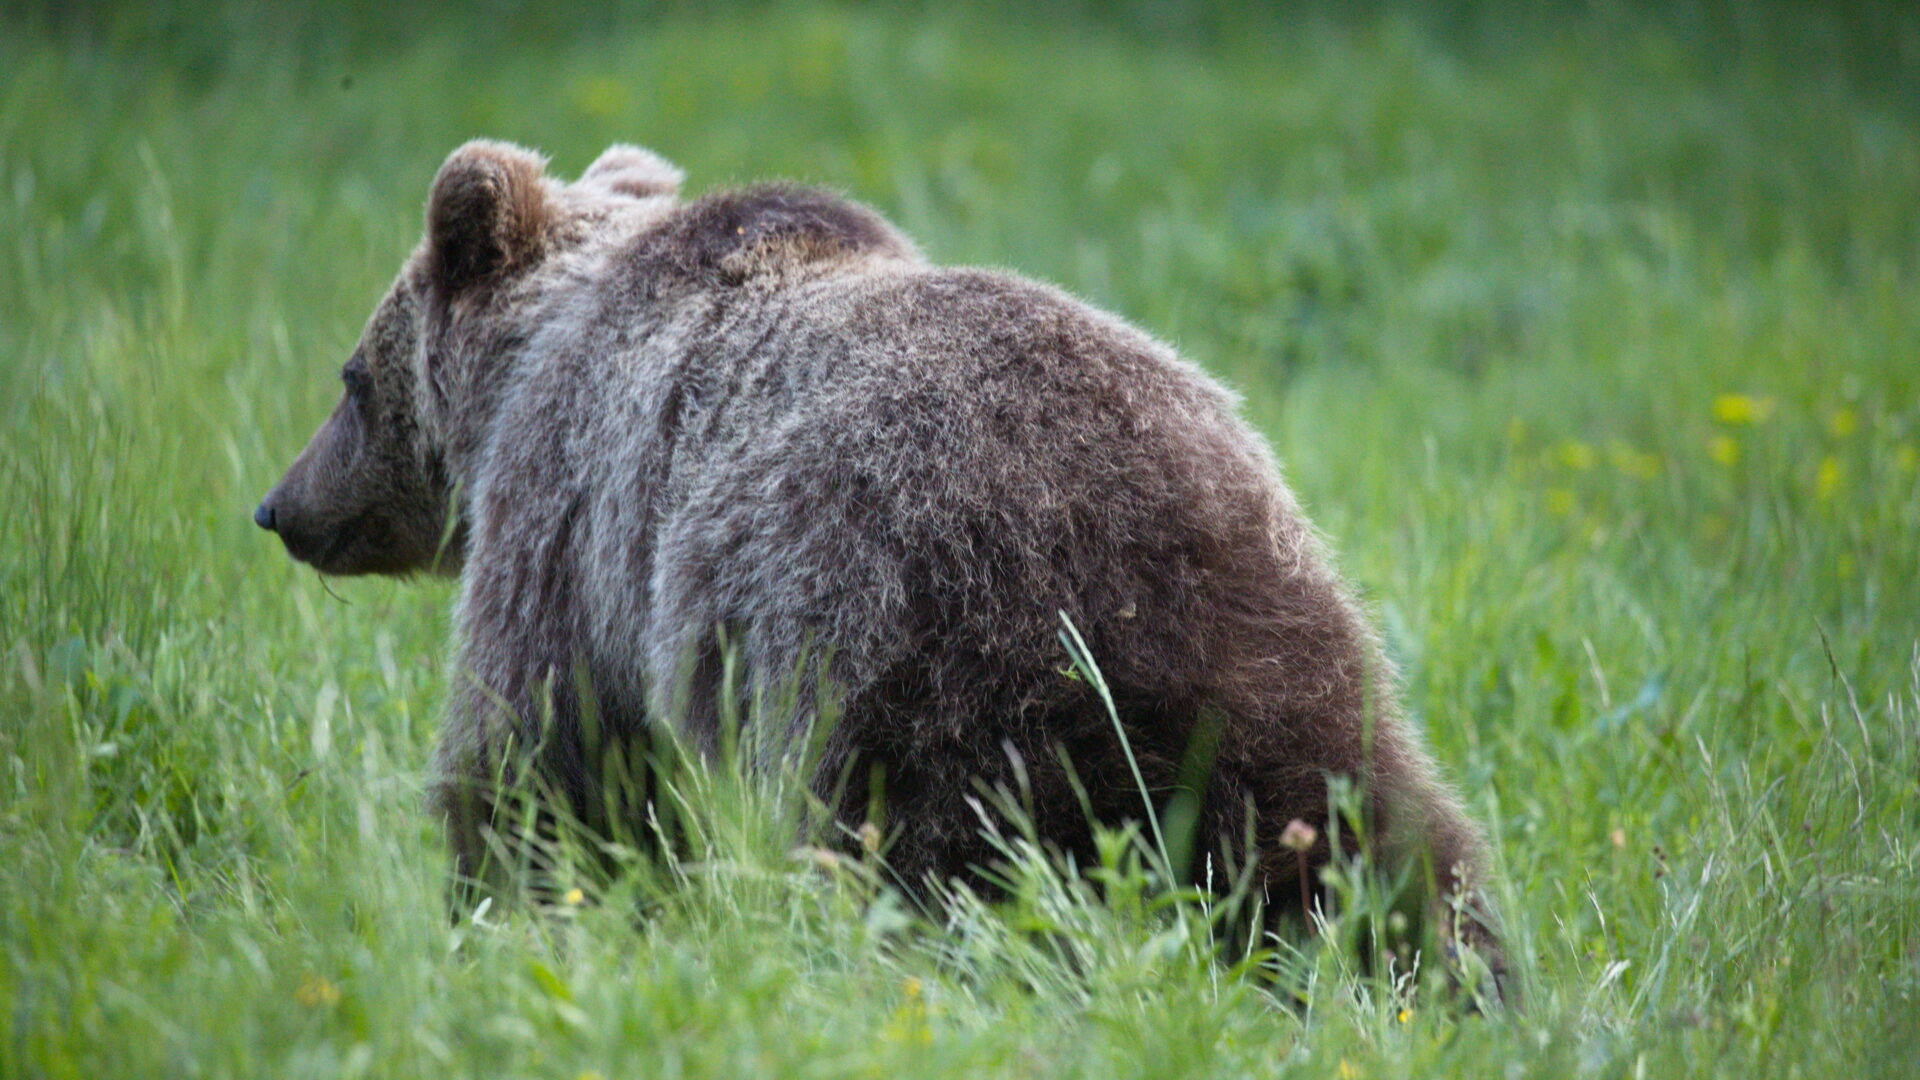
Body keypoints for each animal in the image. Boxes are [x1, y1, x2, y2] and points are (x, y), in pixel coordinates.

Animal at [255, 138, 1505, 980]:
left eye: (350, 380)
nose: (279, 508)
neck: (549, 344)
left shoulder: (568, 523)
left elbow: (537, 753)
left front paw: (504, 902)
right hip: (1283, 640)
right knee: (1382, 836)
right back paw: (1441, 979)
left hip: (903, 642)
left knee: (921, 864)